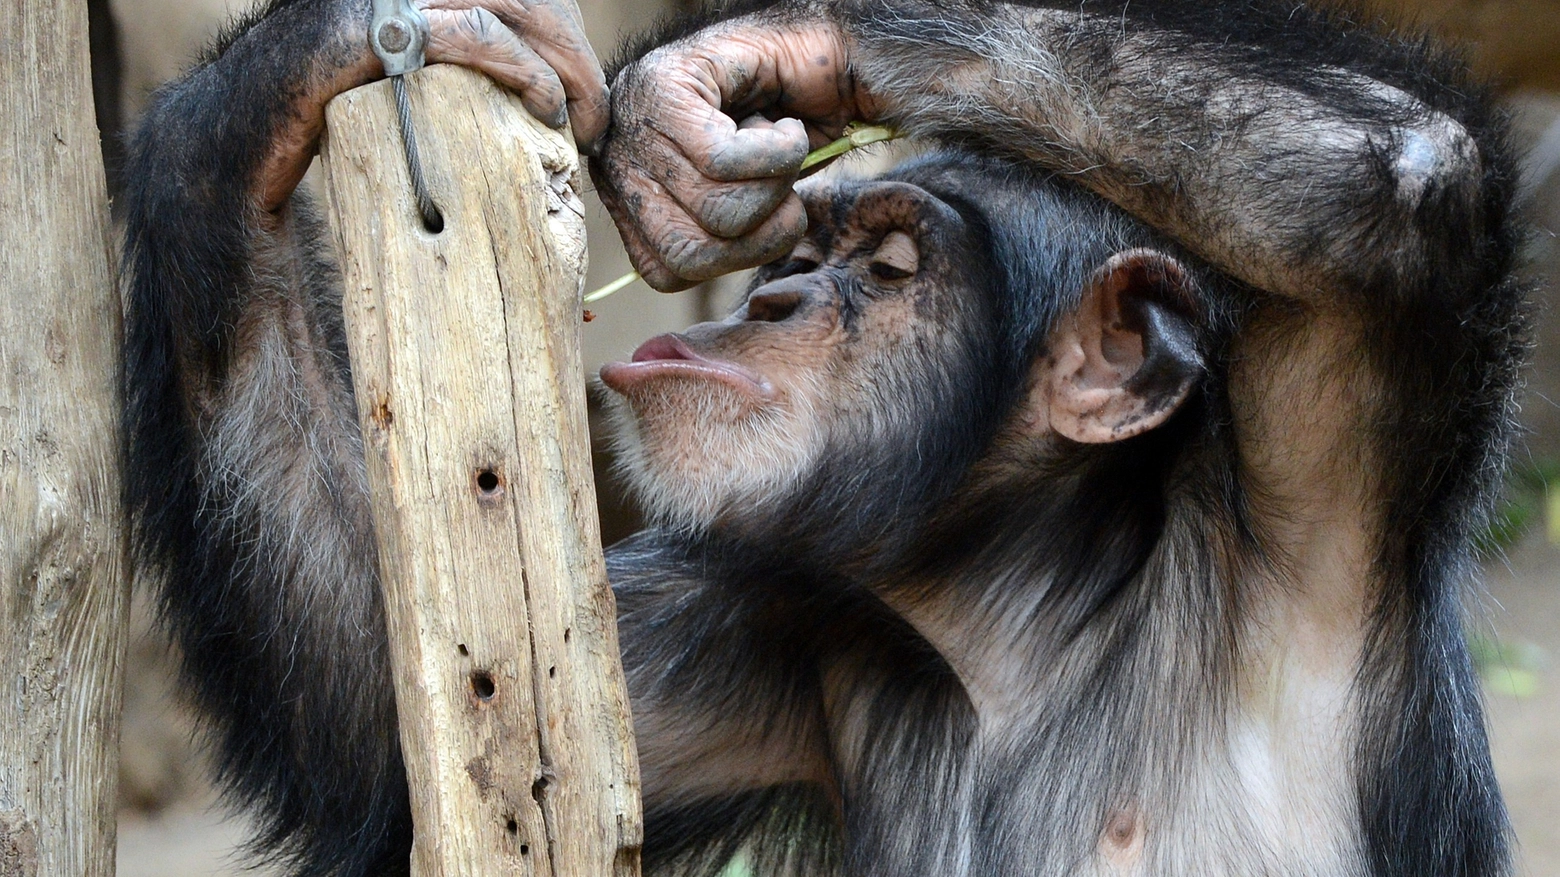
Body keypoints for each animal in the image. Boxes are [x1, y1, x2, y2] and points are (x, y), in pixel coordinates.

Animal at [121, 1, 1522, 873]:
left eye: (891, 267)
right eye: (803, 257)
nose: (774, 301)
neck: (1030, 613)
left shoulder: (1319, 512)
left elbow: (1404, 189)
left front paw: (734, 66)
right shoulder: (767, 620)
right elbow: (391, 720)